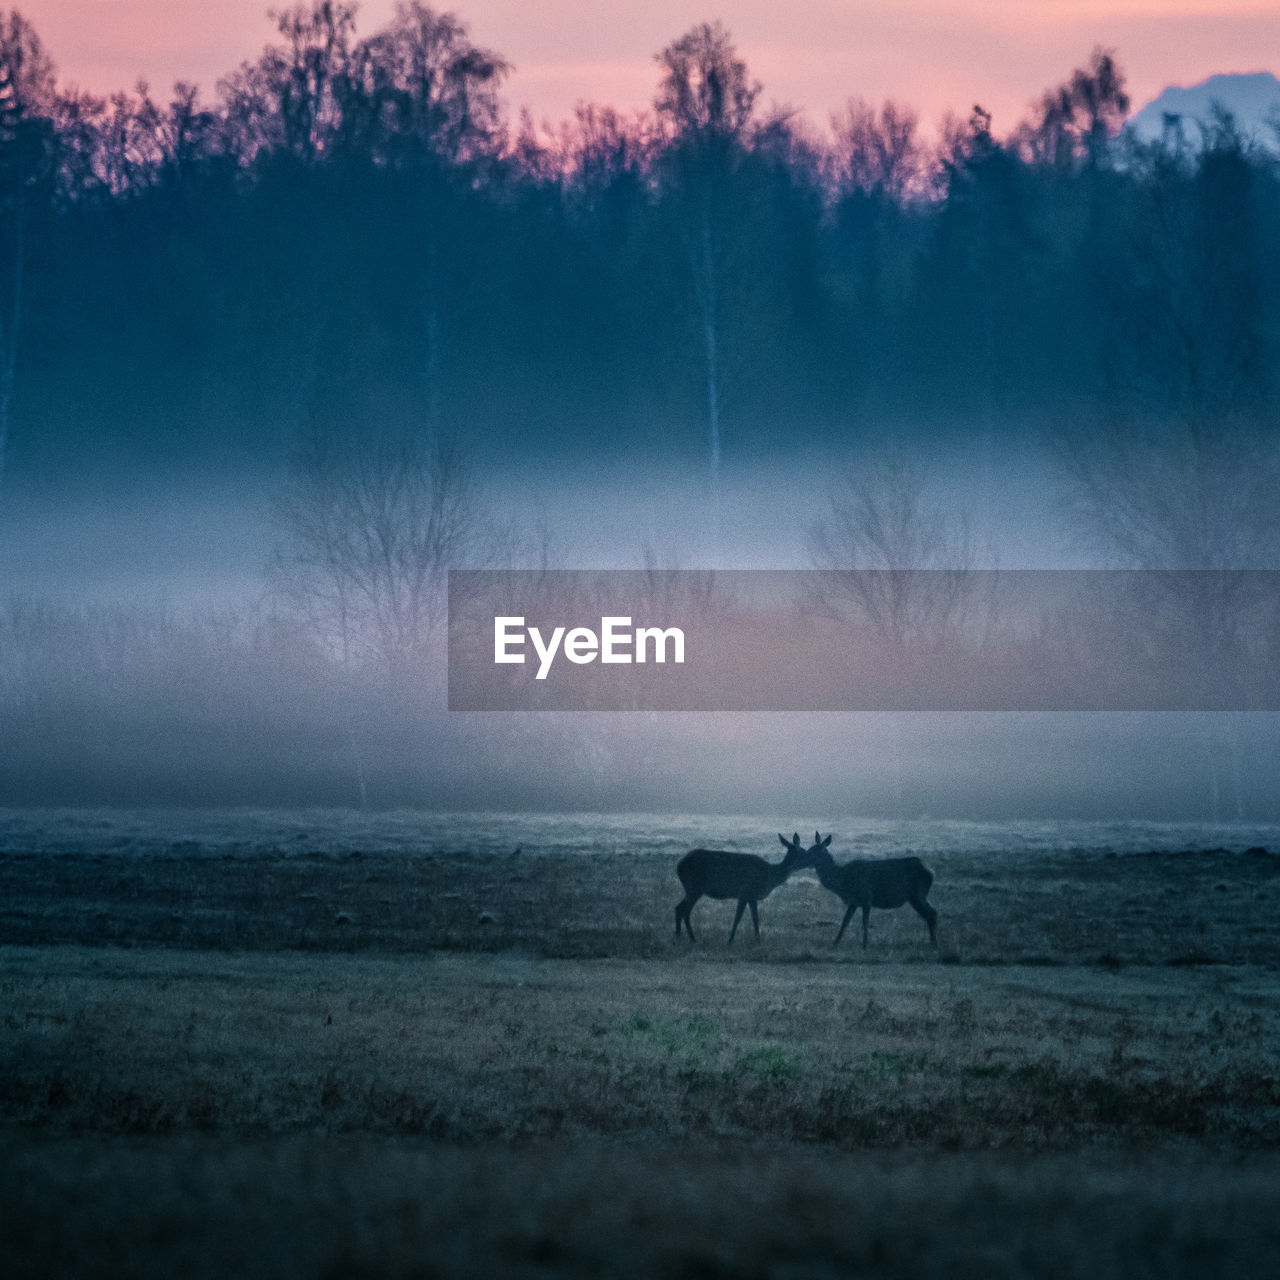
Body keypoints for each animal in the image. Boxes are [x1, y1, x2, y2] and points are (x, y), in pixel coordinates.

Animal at [675, 834, 814, 947]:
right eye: (804, 852)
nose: (812, 861)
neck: (770, 876)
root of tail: (679, 865)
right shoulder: (745, 892)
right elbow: (738, 918)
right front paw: (730, 941)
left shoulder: (751, 897)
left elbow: (755, 918)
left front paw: (758, 940)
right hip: (694, 886)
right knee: (684, 910)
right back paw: (692, 938)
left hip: (692, 888)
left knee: (678, 907)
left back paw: (678, 937)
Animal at [808, 834, 942, 947]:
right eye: (810, 849)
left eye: (813, 851)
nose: (805, 858)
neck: (842, 880)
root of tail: (932, 872)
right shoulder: (853, 902)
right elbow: (845, 921)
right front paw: (835, 943)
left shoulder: (866, 897)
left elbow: (865, 922)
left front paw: (864, 945)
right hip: (917, 896)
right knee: (931, 913)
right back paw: (932, 942)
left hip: (917, 893)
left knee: (932, 913)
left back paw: (934, 943)